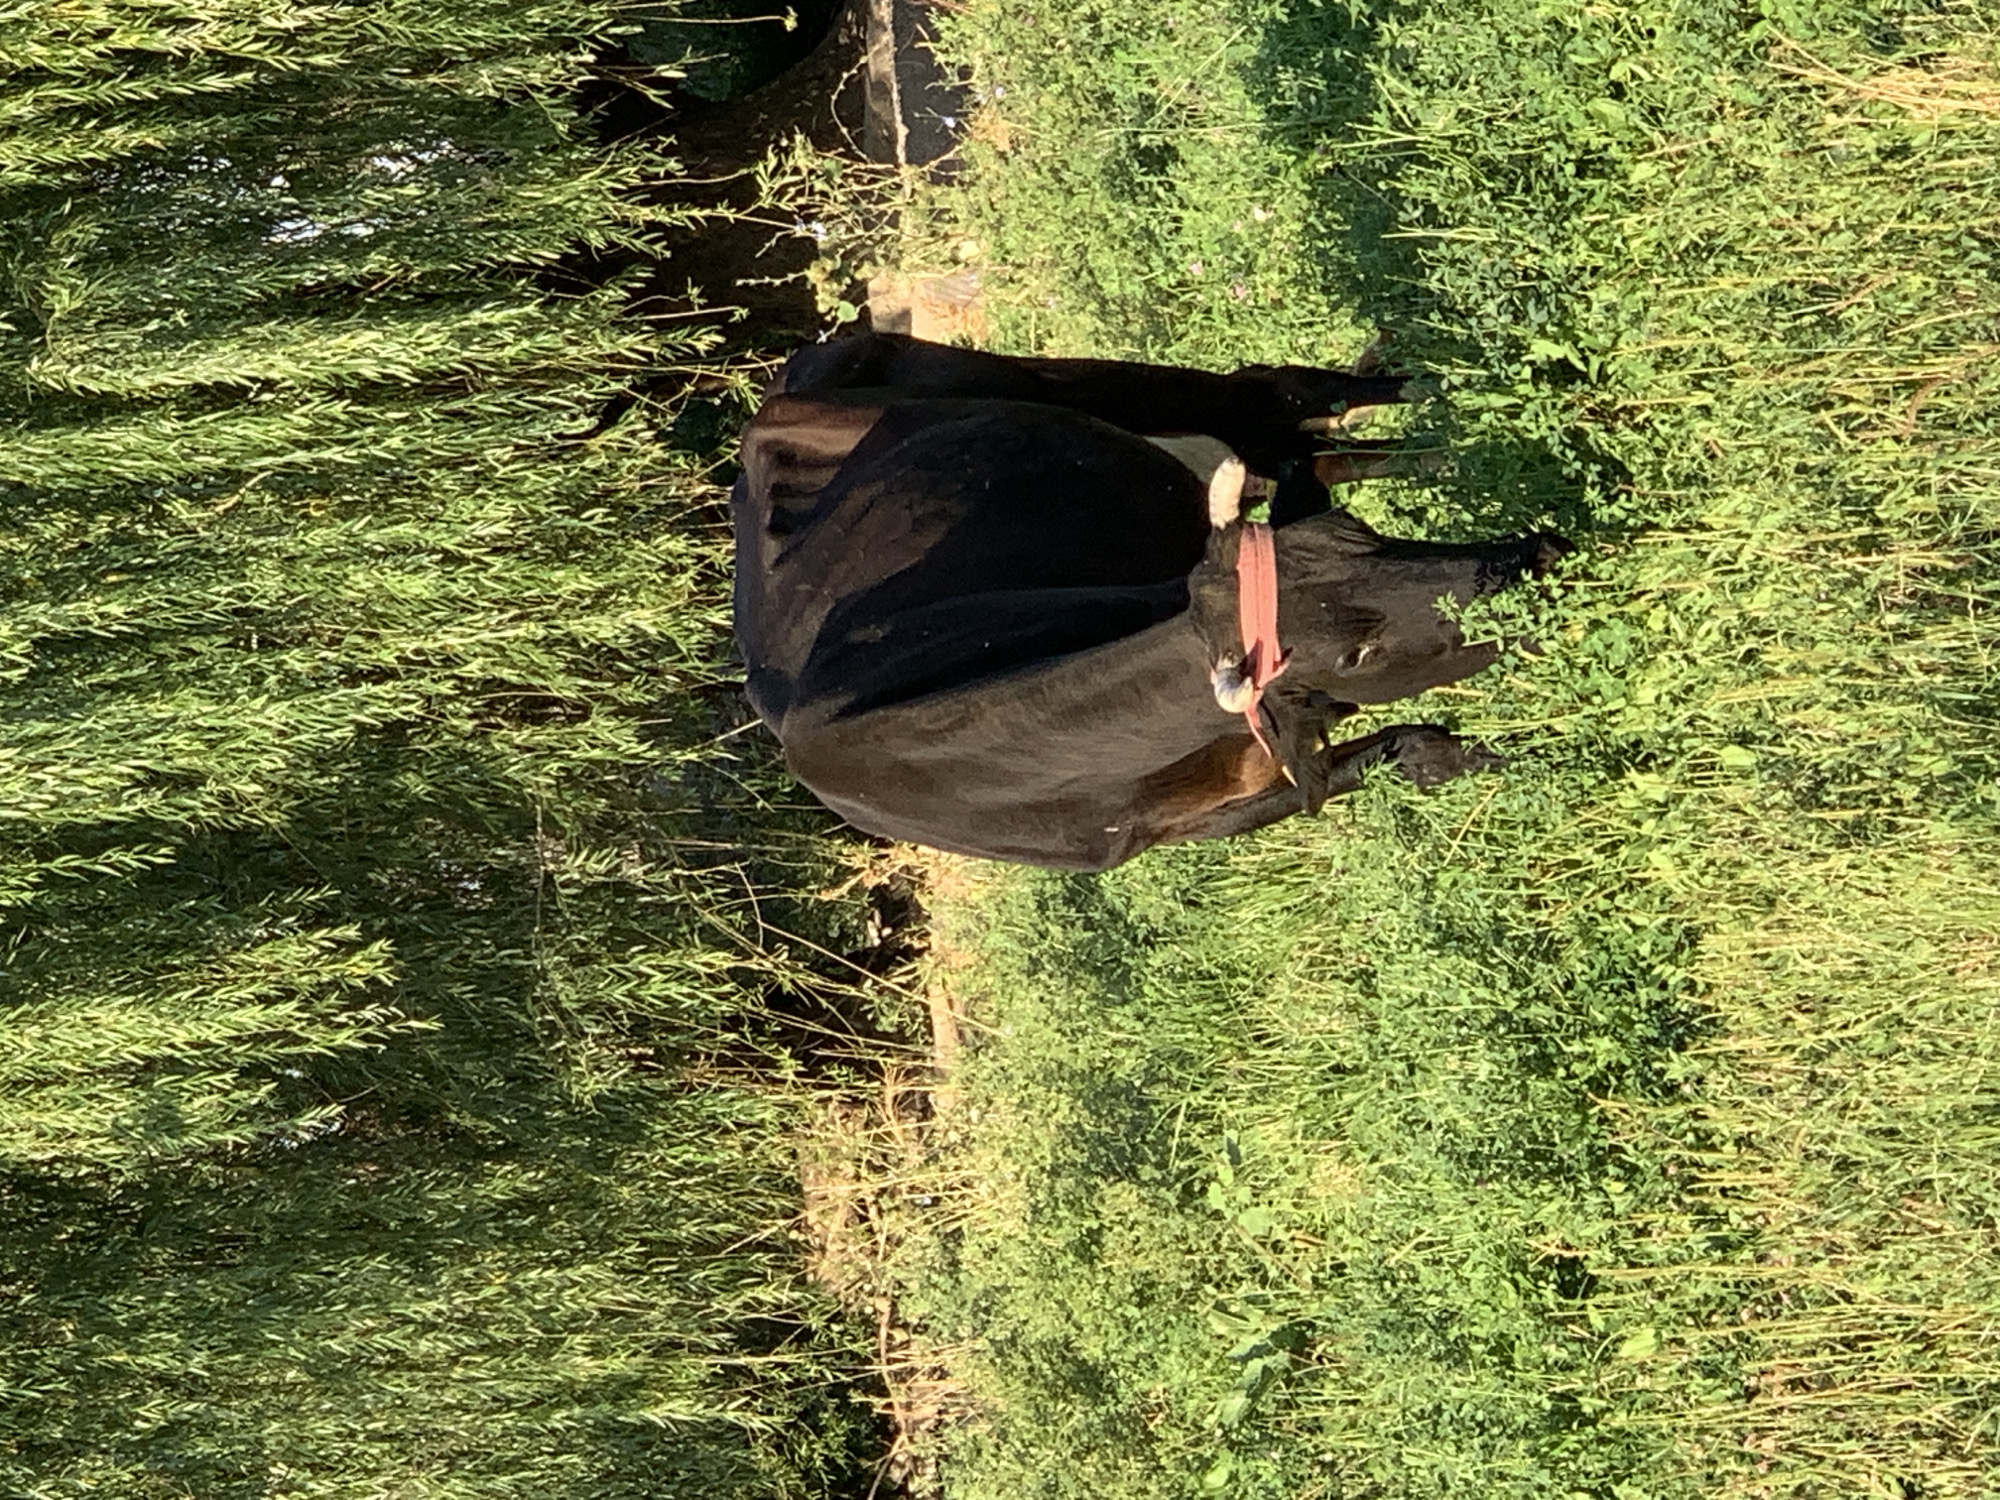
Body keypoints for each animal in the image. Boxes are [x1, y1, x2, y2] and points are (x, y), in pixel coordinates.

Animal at [732, 333, 1567, 871]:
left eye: (1355, 534)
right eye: (1357, 654)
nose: (1523, 563)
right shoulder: (1213, 810)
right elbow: (1411, 752)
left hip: (1089, 385)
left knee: (1285, 394)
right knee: (1311, 438)